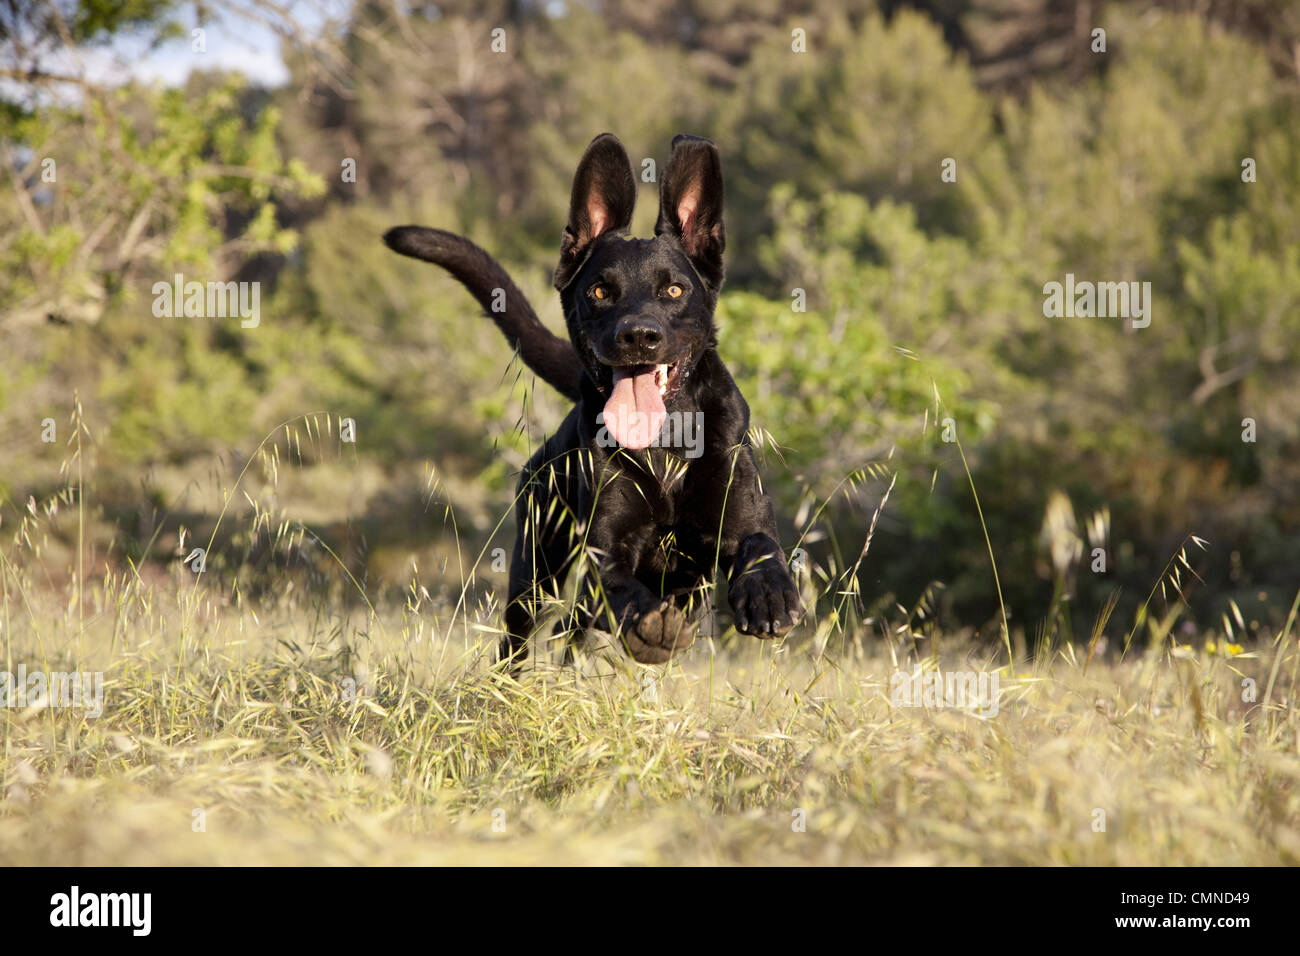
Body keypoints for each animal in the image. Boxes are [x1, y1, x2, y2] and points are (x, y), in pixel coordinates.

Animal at [384, 132, 795, 665]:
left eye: (674, 290)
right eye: (600, 291)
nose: (638, 336)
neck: (665, 445)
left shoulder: (738, 513)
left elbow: (760, 543)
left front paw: (768, 593)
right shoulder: (602, 548)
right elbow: (618, 585)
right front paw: (651, 628)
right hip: (536, 570)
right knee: (527, 640)